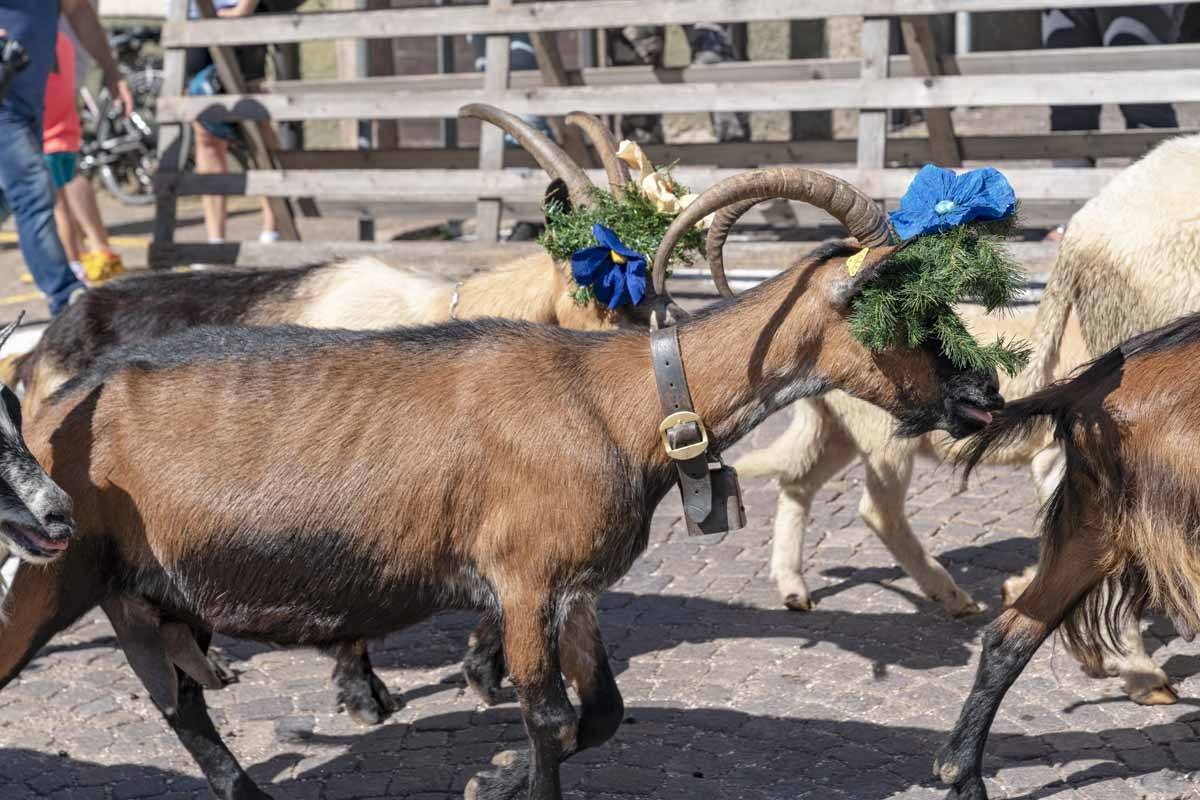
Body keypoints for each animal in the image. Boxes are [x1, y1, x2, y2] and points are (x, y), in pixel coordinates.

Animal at [2, 169, 1003, 800]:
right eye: (904, 315)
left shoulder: (573, 589)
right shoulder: (522, 583)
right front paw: (506, 775)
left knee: (185, 711)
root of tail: (55, 399)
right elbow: (549, 720)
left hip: (139, 597)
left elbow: (600, 715)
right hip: (48, 576)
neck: (618, 402)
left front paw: (495, 778)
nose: (984, 397)